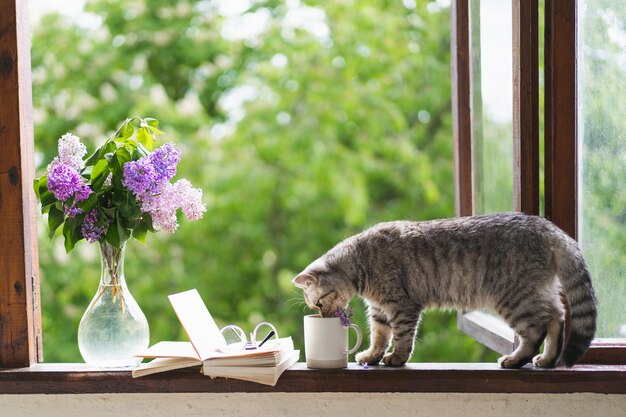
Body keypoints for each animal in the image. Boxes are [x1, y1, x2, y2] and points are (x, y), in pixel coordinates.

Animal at [292, 213, 596, 366]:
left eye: (318, 303)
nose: (324, 317)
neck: (361, 262)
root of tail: (548, 227)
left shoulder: (401, 306)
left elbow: (401, 336)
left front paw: (397, 358)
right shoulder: (379, 310)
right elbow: (379, 336)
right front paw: (371, 356)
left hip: (515, 298)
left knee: (536, 330)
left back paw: (517, 358)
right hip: (539, 292)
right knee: (557, 318)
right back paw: (548, 358)